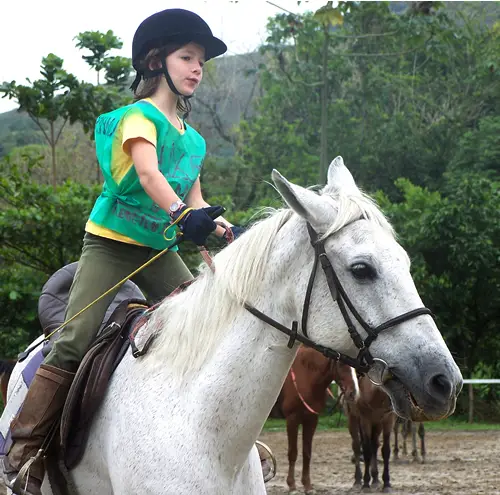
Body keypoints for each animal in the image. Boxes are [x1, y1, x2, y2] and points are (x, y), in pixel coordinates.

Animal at [269, 346, 357, 495]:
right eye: (341, 363)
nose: (353, 393)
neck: (306, 375)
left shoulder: (311, 420)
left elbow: (307, 453)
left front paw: (307, 486)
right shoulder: (292, 419)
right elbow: (293, 452)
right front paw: (292, 486)